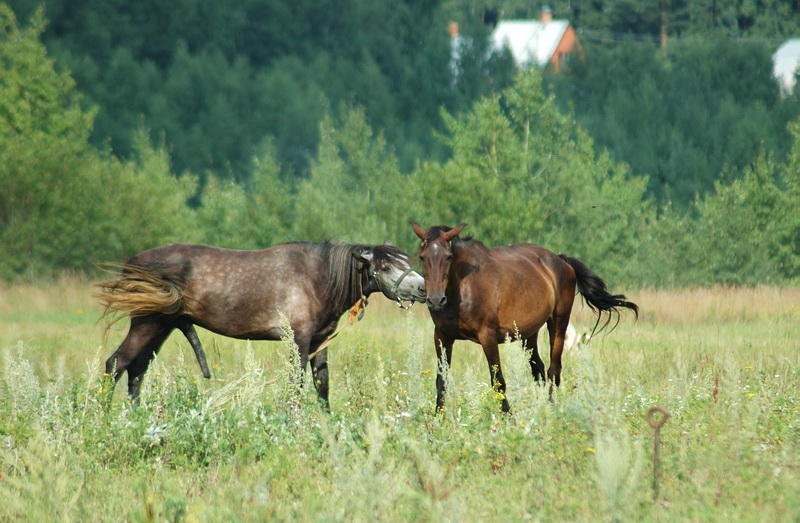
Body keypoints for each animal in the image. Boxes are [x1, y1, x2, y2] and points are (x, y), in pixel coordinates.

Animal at [96, 242, 428, 406]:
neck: (318, 277)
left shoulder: (319, 341)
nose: (423, 288)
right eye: (385, 265)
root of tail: (132, 264)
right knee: (117, 364)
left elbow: (322, 385)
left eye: (404, 261)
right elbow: (296, 386)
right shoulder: (299, 341)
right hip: (147, 324)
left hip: (160, 327)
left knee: (137, 370)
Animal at [412, 222, 636, 414]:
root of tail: (560, 261)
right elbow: (441, 380)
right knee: (539, 370)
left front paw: (508, 419)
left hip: (558, 324)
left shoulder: (487, 337)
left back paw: (551, 409)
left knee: (553, 371)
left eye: (449, 257)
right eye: (422, 257)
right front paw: (439, 418)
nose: (435, 300)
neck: (463, 286)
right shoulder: (442, 336)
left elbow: (498, 380)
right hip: (529, 335)